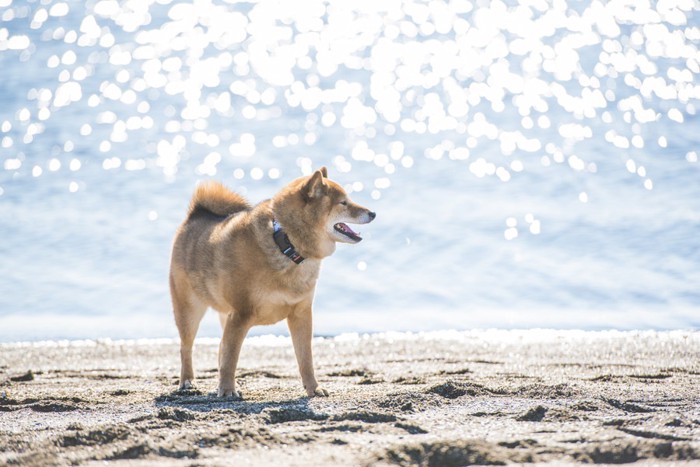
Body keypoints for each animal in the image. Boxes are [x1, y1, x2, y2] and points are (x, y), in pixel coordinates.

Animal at [170, 167, 378, 398]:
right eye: (343, 203)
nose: (373, 213)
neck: (286, 245)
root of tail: (195, 214)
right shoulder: (241, 314)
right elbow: (231, 358)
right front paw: (227, 390)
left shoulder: (301, 314)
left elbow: (305, 359)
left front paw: (314, 388)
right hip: (189, 310)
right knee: (187, 347)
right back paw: (188, 381)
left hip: (224, 314)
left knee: (220, 348)